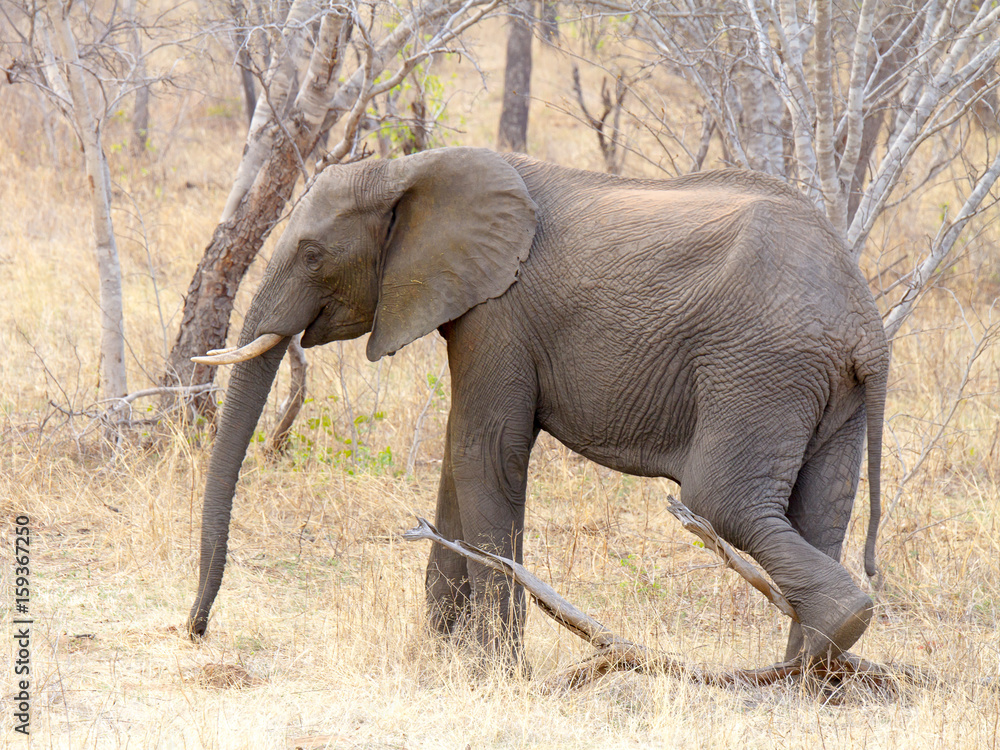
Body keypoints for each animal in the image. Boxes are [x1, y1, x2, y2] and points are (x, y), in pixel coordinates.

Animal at [187, 147, 889, 669]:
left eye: (312, 253)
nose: (196, 630)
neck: (412, 168)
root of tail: (867, 327)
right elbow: (458, 455)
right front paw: (437, 654)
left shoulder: (500, 311)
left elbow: (484, 452)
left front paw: (494, 670)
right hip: (828, 390)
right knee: (822, 512)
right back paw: (808, 676)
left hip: (760, 366)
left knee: (720, 501)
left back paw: (823, 643)